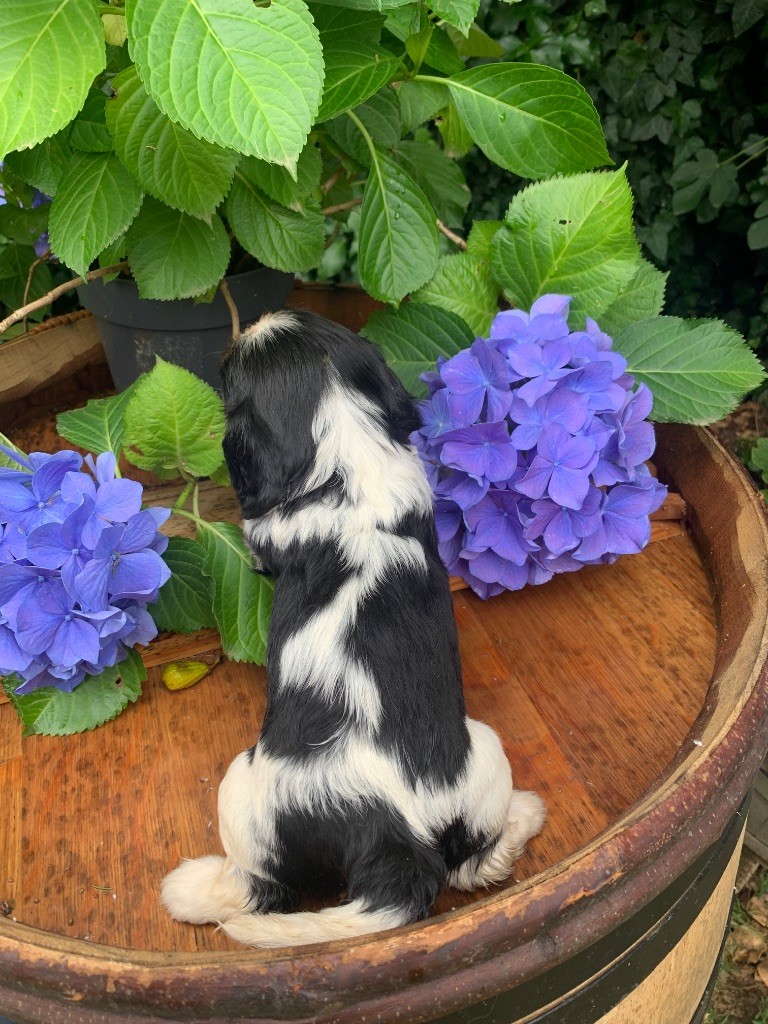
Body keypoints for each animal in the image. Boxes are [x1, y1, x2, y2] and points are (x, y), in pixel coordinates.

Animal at [161, 310, 545, 947]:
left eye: (231, 371)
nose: (251, 321)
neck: (347, 458)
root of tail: (397, 839)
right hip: (482, 753)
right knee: (473, 865)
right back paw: (526, 814)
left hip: (243, 790)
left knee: (258, 886)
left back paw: (189, 892)